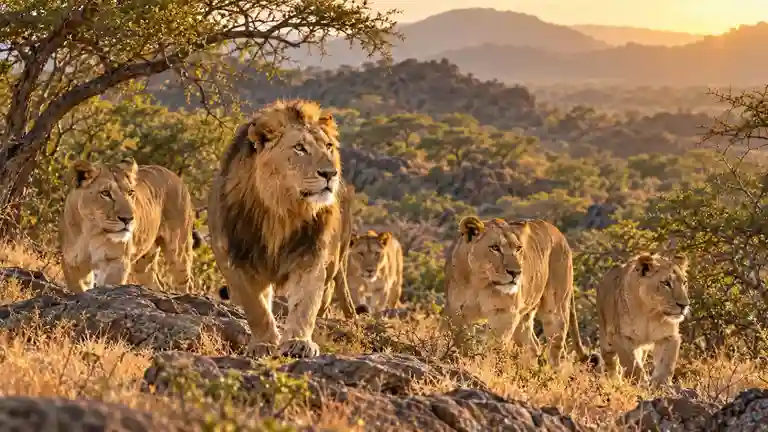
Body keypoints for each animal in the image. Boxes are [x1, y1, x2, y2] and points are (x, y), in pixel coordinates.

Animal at [60, 157, 196, 294]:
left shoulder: (117, 262)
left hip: (179, 249)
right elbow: (79, 288)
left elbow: (110, 285)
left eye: (130, 192)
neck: (91, 231)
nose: (128, 219)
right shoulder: (73, 265)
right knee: (156, 283)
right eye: (105, 193)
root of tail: (173, 174)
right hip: (143, 263)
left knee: (186, 282)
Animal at [207, 99, 356, 359]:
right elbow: (256, 308)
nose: (330, 173)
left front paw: (299, 342)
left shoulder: (310, 256)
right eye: (299, 148)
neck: (281, 212)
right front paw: (264, 344)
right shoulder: (237, 261)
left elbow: (305, 304)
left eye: (328, 146)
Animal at [442, 216, 589, 368]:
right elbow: (462, 342)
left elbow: (494, 345)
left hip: (556, 310)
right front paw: (463, 361)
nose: (516, 272)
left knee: (558, 351)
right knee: (533, 346)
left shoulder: (505, 313)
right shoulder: (457, 310)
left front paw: (485, 365)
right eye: (495, 248)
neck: (479, 282)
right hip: (524, 317)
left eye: (518, 248)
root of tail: (558, 232)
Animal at [596, 252, 690, 386]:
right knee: (611, 362)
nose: (684, 305)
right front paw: (641, 383)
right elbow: (632, 364)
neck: (649, 313)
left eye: (684, 283)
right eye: (666, 283)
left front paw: (660, 384)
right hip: (606, 340)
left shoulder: (669, 336)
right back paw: (615, 381)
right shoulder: (620, 336)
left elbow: (667, 363)